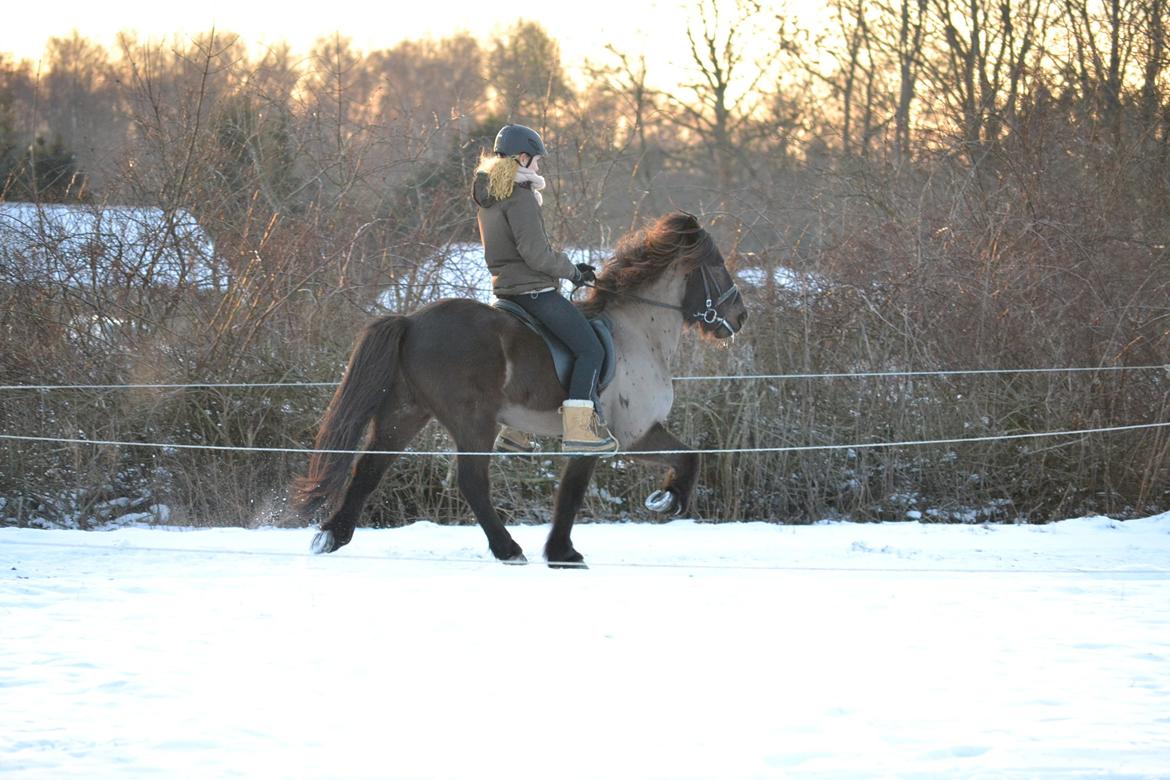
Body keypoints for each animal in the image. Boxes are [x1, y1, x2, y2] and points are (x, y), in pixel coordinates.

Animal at [294, 214, 748, 568]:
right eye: (717, 265)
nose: (740, 316)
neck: (637, 333)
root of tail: (411, 320)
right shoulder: (620, 434)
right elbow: (581, 490)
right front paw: (571, 549)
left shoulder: (616, 435)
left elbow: (681, 458)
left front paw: (661, 502)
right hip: (472, 420)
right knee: (471, 481)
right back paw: (507, 548)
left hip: (405, 412)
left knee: (369, 469)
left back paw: (332, 536)